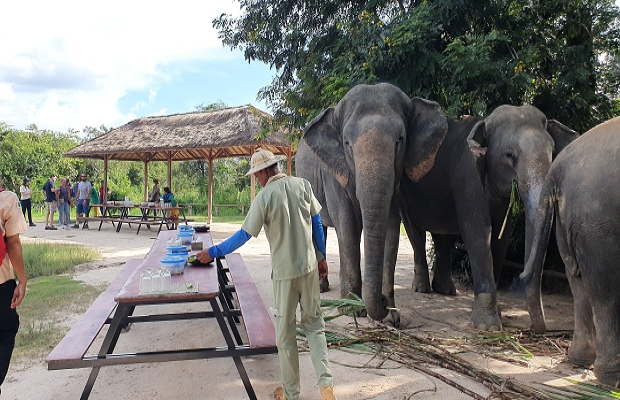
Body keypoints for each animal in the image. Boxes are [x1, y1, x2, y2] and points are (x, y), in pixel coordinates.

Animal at [296, 83, 446, 324]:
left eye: (400, 140)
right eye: (347, 144)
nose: (383, 303)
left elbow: (391, 229)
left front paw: (391, 317)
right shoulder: (334, 173)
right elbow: (347, 227)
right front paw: (351, 310)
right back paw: (322, 289)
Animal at [400, 104, 580, 330]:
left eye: (553, 152)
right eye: (509, 155)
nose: (533, 328)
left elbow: (501, 238)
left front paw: (498, 314)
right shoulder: (468, 178)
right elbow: (478, 231)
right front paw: (489, 326)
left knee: (443, 237)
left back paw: (446, 290)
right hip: (404, 192)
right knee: (416, 233)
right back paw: (422, 288)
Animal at [520, 115, 620, 388]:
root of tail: (559, 166)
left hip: (572, 221)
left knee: (578, 282)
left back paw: (580, 360)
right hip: (597, 222)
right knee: (604, 290)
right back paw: (610, 379)